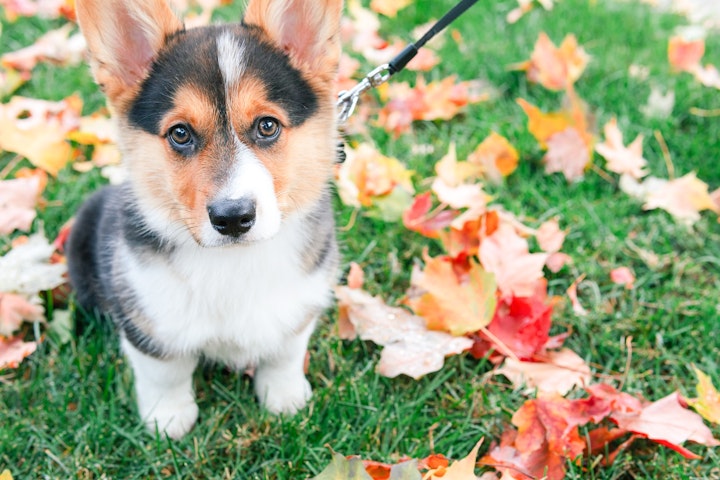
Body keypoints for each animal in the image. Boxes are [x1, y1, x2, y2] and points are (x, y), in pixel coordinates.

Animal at [66, 0, 342, 438]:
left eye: (267, 126)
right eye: (180, 134)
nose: (232, 218)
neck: (233, 261)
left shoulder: (301, 302)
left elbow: (284, 353)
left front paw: (285, 400)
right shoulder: (149, 321)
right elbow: (164, 372)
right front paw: (167, 419)